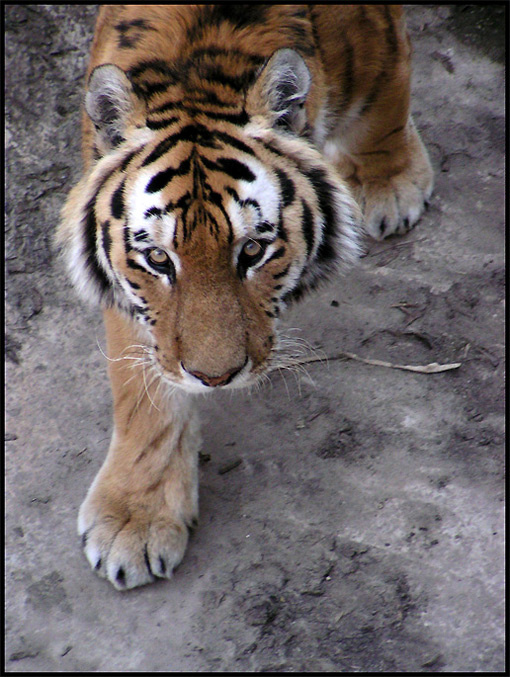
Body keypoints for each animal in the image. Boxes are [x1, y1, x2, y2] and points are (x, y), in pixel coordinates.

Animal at [57, 4, 433, 589]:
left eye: (253, 250)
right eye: (158, 259)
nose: (214, 378)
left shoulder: (371, 36)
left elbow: (388, 79)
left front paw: (390, 177)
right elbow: (144, 392)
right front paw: (136, 520)